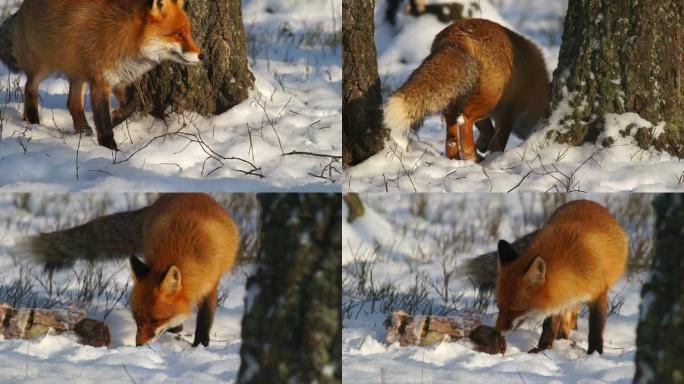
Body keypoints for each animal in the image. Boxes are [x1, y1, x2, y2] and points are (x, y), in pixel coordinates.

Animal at [0, 0, 200, 150]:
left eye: (189, 33)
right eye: (178, 34)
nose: (202, 55)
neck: (124, 39)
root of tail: (22, 7)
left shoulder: (119, 79)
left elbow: (132, 103)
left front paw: (115, 118)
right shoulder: (100, 82)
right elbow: (103, 121)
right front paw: (110, 148)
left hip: (78, 74)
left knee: (72, 103)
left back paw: (83, 130)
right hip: (44, 67)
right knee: (29, 87)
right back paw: (32, 120)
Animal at [16, 194, 240, 346]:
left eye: (154, 319)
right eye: (137, 319)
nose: (139, 345)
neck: (181, 247)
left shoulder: (210, 282)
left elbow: (205, 319)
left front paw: (200, 345)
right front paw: (177, 326)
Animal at [384, 18, 552, 160]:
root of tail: (459, 33)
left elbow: (488, 131)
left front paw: (484, 144)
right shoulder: (509, 111)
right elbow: (499, 141)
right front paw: (495, 156)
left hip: (456, 100)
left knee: (452, 132)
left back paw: (455, 158)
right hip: (489, 99)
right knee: (465, 120)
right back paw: (473, 158)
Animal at [494, 201, 628, 354]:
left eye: (514, 310)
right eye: (499, 307)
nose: (496, 332)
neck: (573, 266)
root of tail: (587, 201)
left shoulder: (599, 293)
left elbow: (596, 329)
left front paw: (595, 353)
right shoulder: (557, 296)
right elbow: (549, 326)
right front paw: (543, 348)